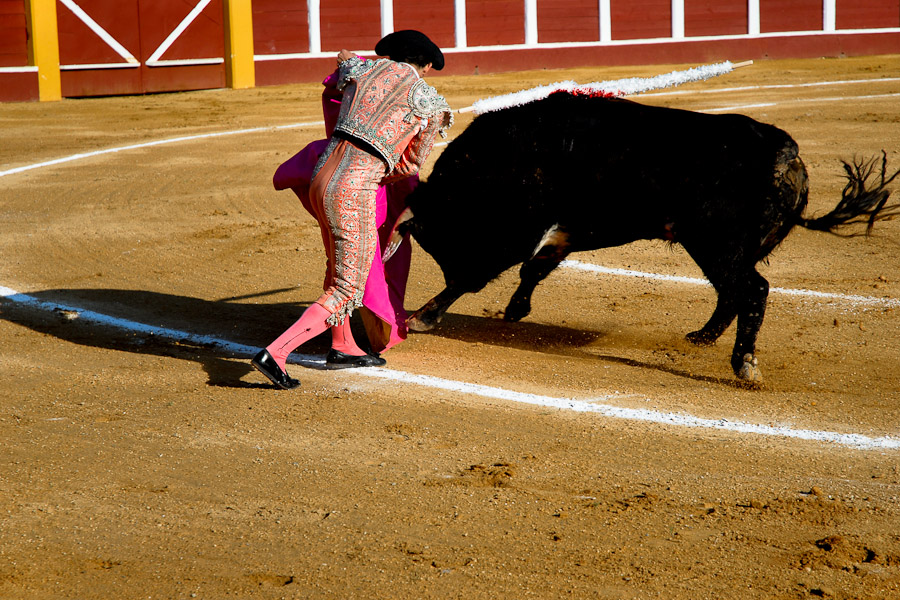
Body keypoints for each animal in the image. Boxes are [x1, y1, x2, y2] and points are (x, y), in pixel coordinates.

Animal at [402, 96, 900, 382]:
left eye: (440, 236)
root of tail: (785, 152)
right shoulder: (572, 230)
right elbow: (535, 267)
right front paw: (514, 310)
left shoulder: (517, 231)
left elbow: (477, 277)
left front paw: (422, 317)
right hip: (724, 249)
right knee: (734, 293)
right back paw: (702, 337)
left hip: (715, 244)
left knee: (751, 290)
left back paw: (744, 364)